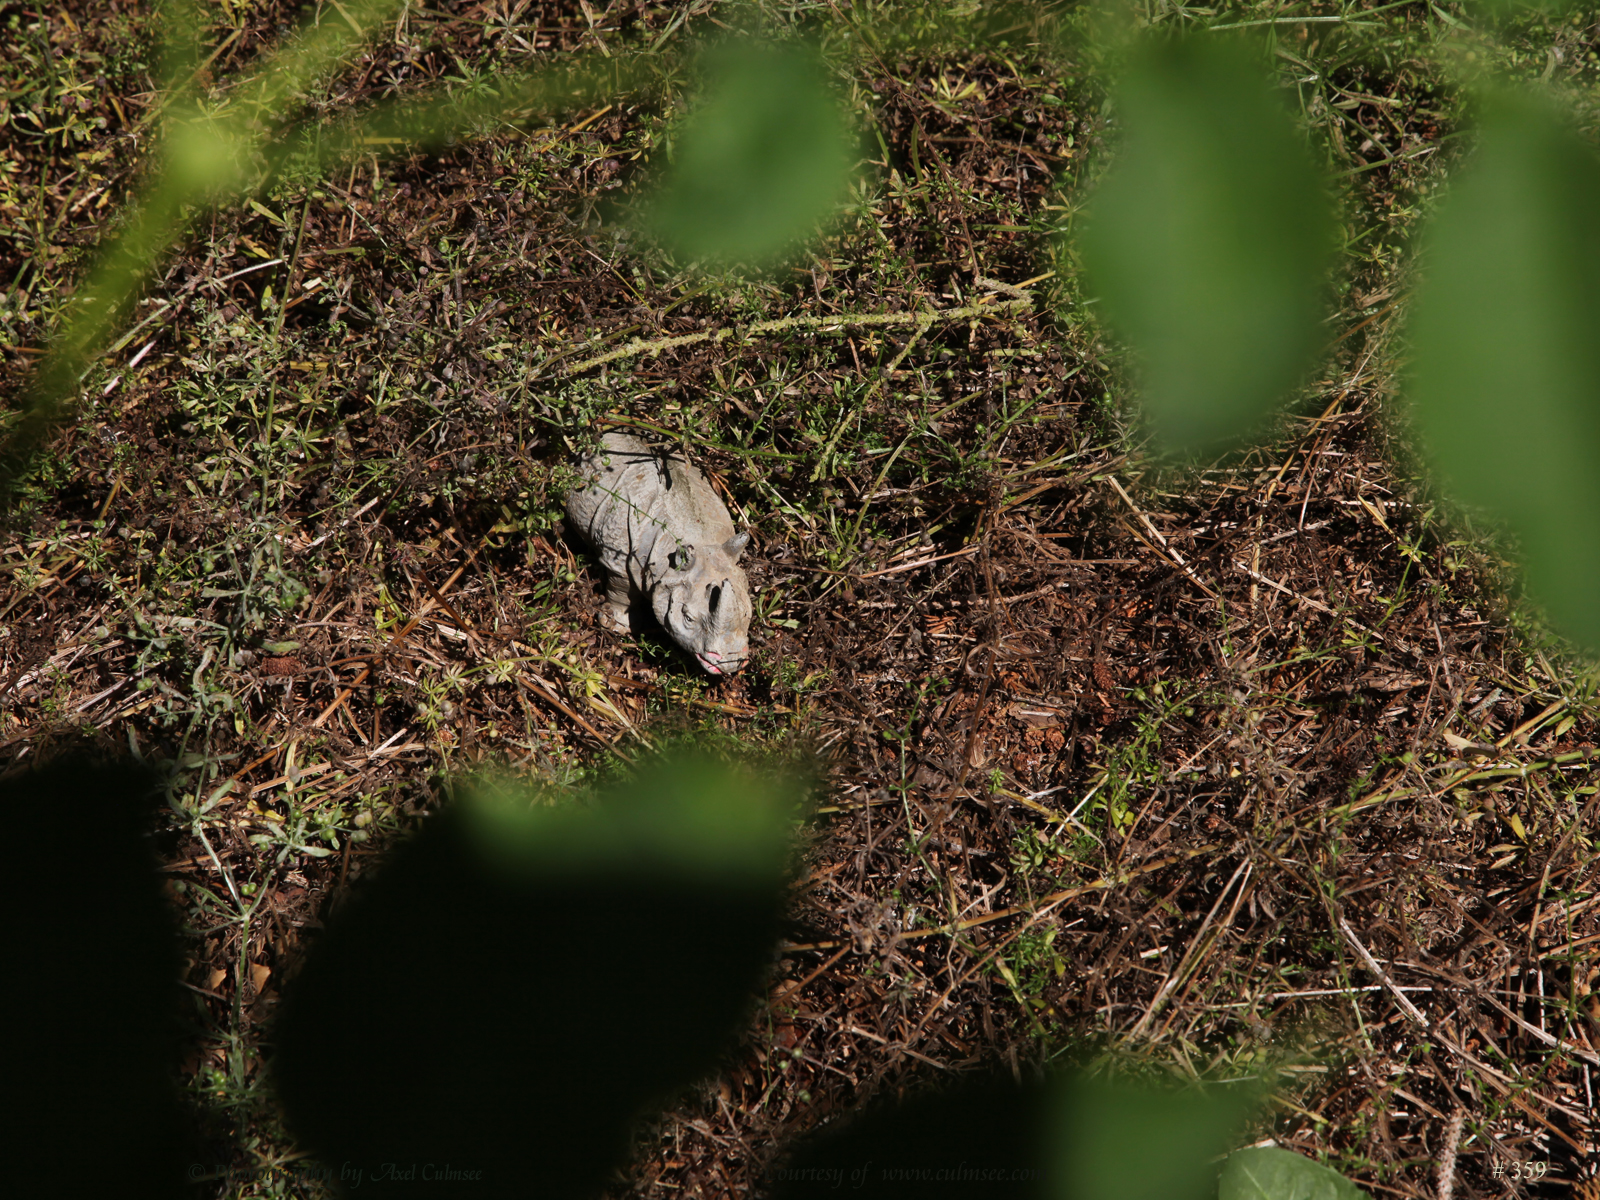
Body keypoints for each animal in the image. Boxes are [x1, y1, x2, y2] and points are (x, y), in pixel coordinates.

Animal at [565, 431, 753, 675]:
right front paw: (617, 627)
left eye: (748, 614)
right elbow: (621, 591)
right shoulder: (618, 559)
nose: (729, 662)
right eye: (688, 618)